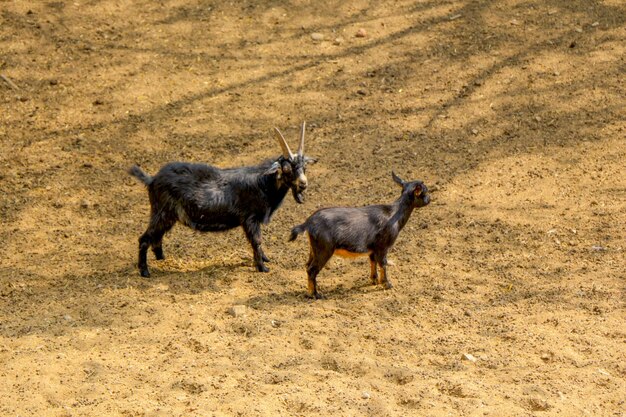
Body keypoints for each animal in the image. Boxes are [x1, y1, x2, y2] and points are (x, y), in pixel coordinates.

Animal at [128, 122, 312, 276]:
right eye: (286, 169)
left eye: (304, 166)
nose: (303, 184)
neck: (262, 183)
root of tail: (152, 180)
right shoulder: (250, 219)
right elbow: (256, 241)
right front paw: (262, 267)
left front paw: (264, 259)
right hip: (161, 213)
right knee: (144, 239)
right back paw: (144, 271)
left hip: (167, 216)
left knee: (157, 238)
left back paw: (161, 259)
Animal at [288, 171, 428, 298]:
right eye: (425, 192)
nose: (429, 200)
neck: (393, 214)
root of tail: (307, 223)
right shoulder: (383, 246)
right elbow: (383, 263)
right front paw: (387, 284)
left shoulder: (373, 248)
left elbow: (373, 262)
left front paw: (374, 280)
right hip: (324, 250)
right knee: (312, 270)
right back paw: (315, 295)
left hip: (314, 249)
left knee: (307, 266)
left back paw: (310, 291)